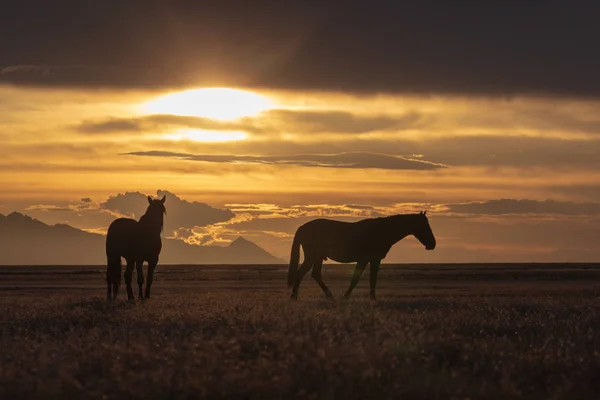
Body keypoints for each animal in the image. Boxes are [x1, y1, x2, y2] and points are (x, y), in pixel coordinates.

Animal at [288, 212, 436, 300]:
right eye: (424, 226)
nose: (432, 244)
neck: (381, 231)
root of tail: (302, 228)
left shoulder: (374, 260)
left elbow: (372, 280)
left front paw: (373, 298)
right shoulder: (364, 260)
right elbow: (355, 279)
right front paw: (346, 296)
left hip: (317, 257)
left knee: (314, 274)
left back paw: (327, 296)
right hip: (313, 256)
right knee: (302, 273)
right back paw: (295, 297)